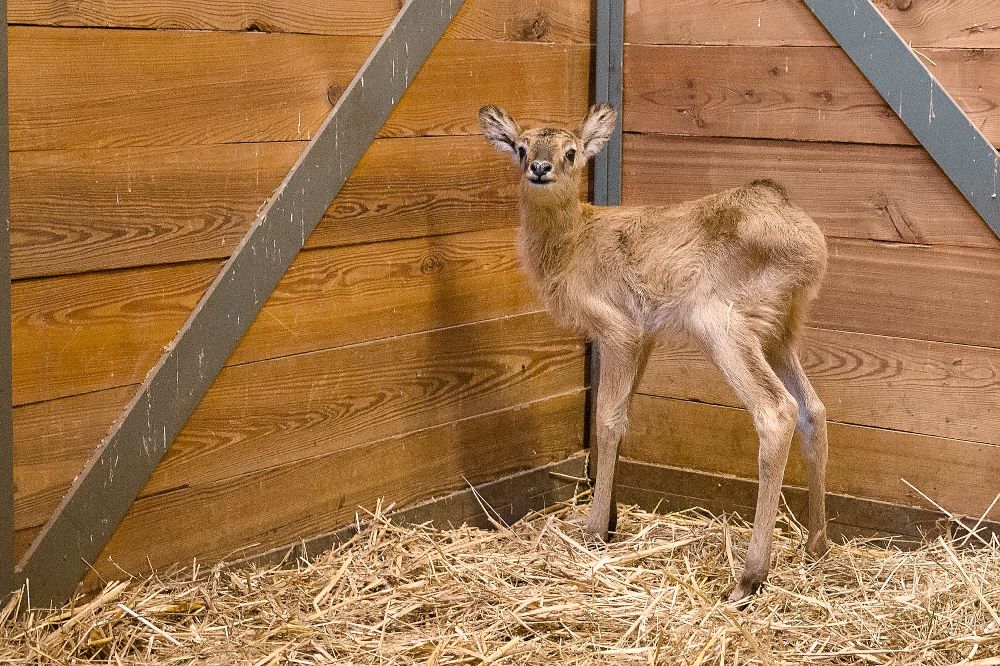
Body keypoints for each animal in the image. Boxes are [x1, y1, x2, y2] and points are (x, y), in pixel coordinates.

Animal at [476, 102, 828, 596]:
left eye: (571, 152)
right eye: (521, 147)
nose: (540, 168)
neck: (570, 244)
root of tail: (808, 240)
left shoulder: (617, 328)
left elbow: (606, 419)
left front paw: (592, 531)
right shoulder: (644, 336)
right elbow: (624, 416)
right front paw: (610, 521)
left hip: (723, 324)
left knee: (777, 411)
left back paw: (749, 577)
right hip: (781, 331)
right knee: (812, 409)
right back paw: (816, 545)